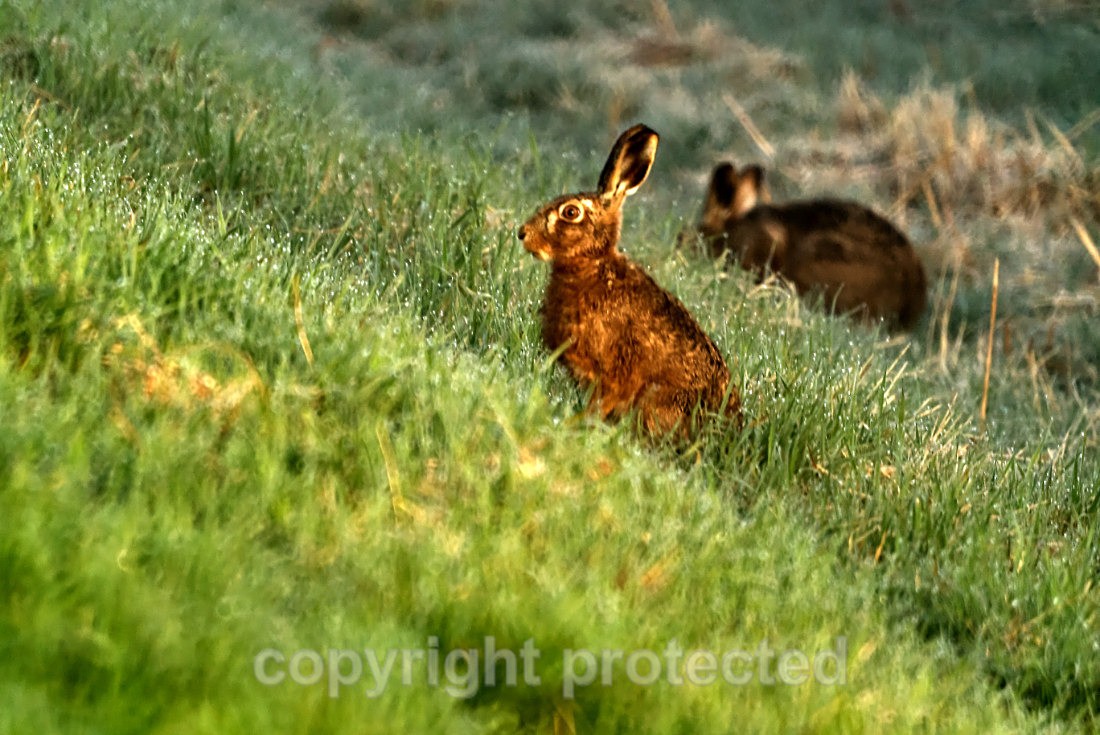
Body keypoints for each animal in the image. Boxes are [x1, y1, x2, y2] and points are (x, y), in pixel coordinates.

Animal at [517, 124, 741, 437]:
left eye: (571, 212)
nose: (522, 233)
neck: (594, 266)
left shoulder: (610, 371)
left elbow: (601, 404)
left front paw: (573, 424)